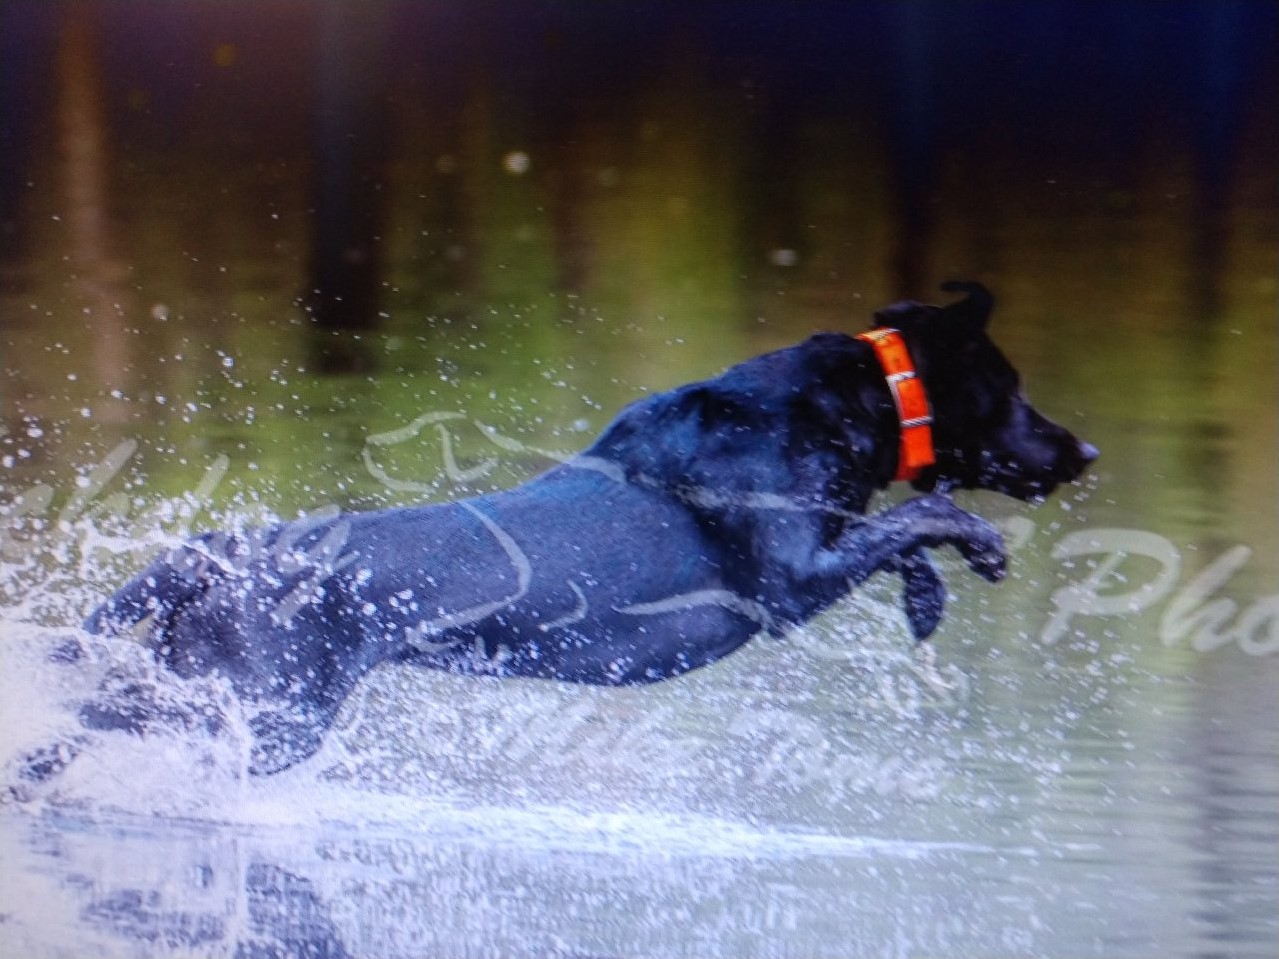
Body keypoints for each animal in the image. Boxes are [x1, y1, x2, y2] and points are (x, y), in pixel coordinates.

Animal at [79, 283, 1099, 772]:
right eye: (1010, 387)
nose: (1083, 448)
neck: (853, 402)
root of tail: (209, 556)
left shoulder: (821, 553)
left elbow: (901, 533)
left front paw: (928, 598)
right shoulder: (785, 583)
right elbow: (925, 509)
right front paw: (977, 548)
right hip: (260, 705)